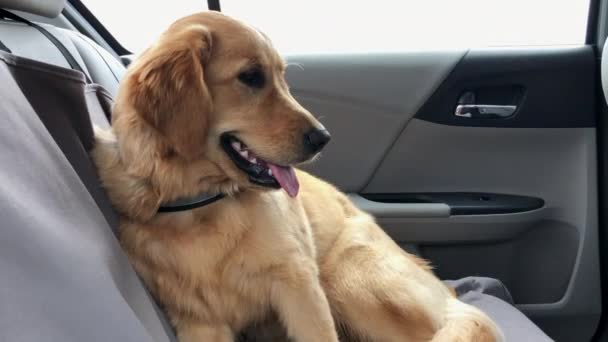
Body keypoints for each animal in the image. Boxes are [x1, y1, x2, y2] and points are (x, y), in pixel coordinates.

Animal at [92, 10, 504, 342]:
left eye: (280, 76)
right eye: (251, 77)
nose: (323, 138)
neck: (200, 204)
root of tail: (449, 296)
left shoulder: (299, 284)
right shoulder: (199, 322)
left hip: (345, 277)